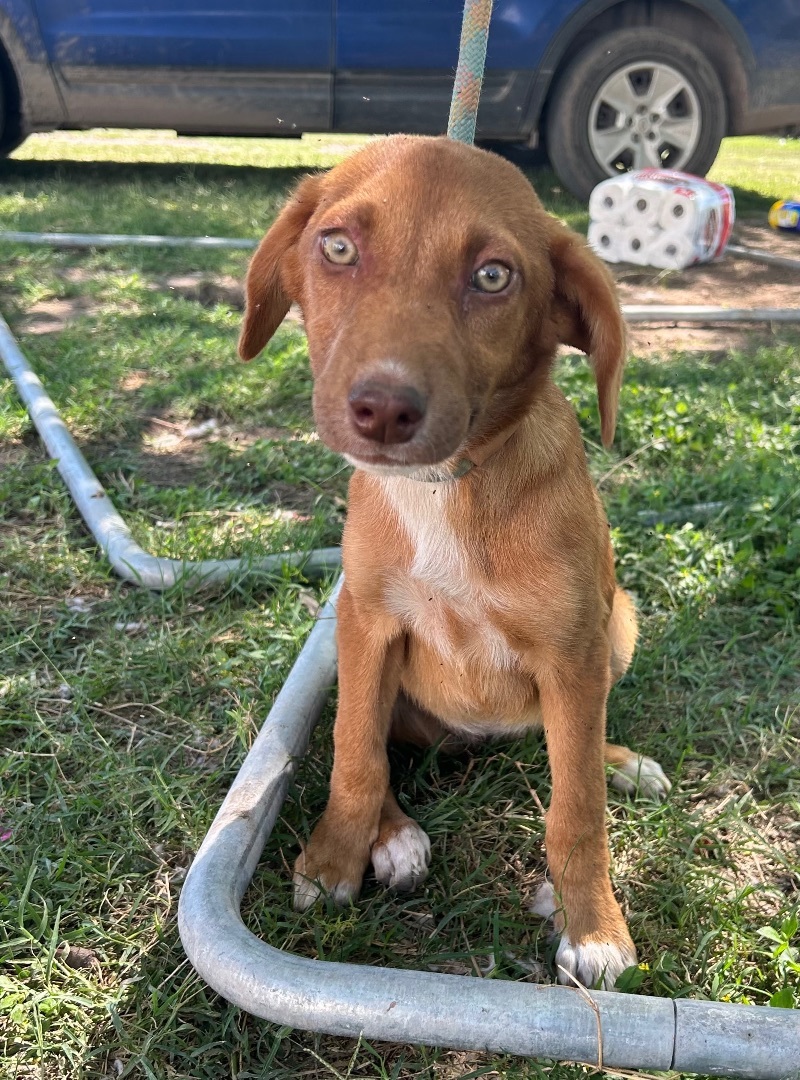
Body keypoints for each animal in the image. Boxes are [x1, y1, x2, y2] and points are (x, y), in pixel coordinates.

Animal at [239, 134, 670, 990]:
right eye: (337, 247)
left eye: (493, 276)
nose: (382, 410)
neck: (445, 488)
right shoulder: (367, 623)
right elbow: (355, 754)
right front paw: (335, 860)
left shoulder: (574, 653)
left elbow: (577, 809)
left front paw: (593, 925)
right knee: (371, 740)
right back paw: (393, 837)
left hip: (619, 626)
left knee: (564, 744)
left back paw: (620, 761)